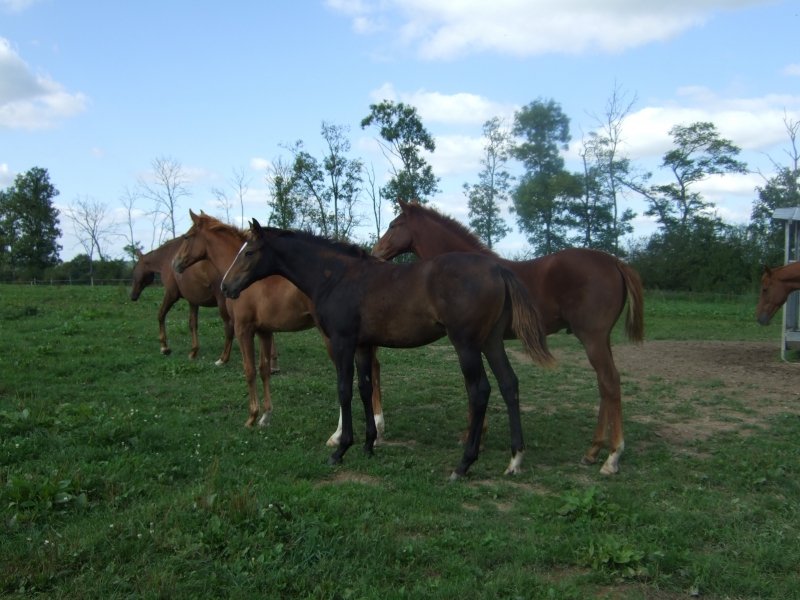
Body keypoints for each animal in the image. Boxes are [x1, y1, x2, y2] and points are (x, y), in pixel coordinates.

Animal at [171, 211, 383, 444]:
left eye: (187, 237)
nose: (175, 263)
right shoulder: (264, 331)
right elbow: (264, 370)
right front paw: (266, 416)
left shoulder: (243, 329)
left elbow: (249, 370)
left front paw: (252, 417)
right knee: (374, 368)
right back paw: (378, 425)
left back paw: (340, 433)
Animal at [220, 220, 555, 480]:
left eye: (249, 252)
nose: (226, 286)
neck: (336, 276)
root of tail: (498, 269)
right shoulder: (363, 345)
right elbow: (365, 389)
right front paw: (368, 444)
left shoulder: (342, 341)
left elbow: (344, 390)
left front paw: (341, 449)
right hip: (491, 341)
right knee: (509, 384)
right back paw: (515, 459)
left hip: (467, 344)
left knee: (480, 390)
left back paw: (463, 465)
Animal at [372, 200, 645, 475]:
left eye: (394, 225)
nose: (376, 252)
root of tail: (616, 262)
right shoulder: (484, 343)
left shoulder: (471, 343)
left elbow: (475, 388)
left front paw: (474, 438)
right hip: (601, 340)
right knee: (605, 385)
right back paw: (593, 451)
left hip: (592, 338)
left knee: (609, 382)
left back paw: (612, 456)